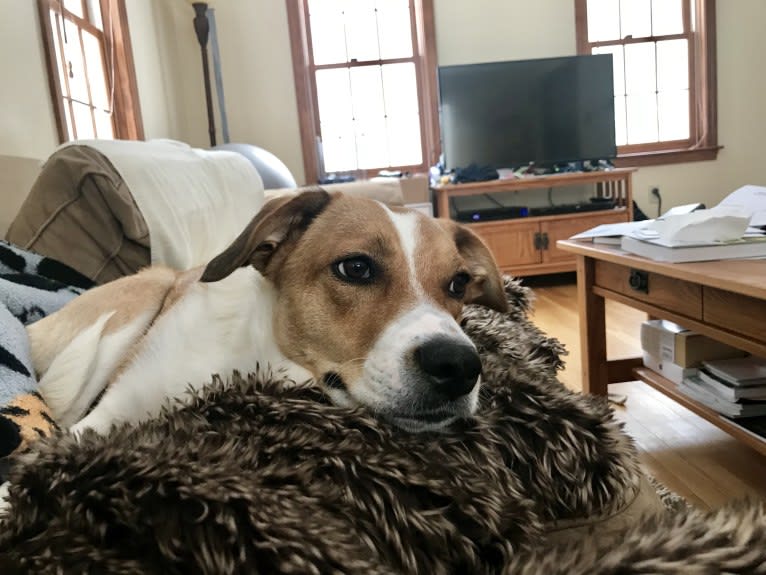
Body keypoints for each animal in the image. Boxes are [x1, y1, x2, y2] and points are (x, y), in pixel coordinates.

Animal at [27, 190, 508, 436]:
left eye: (457, 284)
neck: (256, 355)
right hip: (146, 290)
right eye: (355, 267)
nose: (459, 366)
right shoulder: (98, 421)